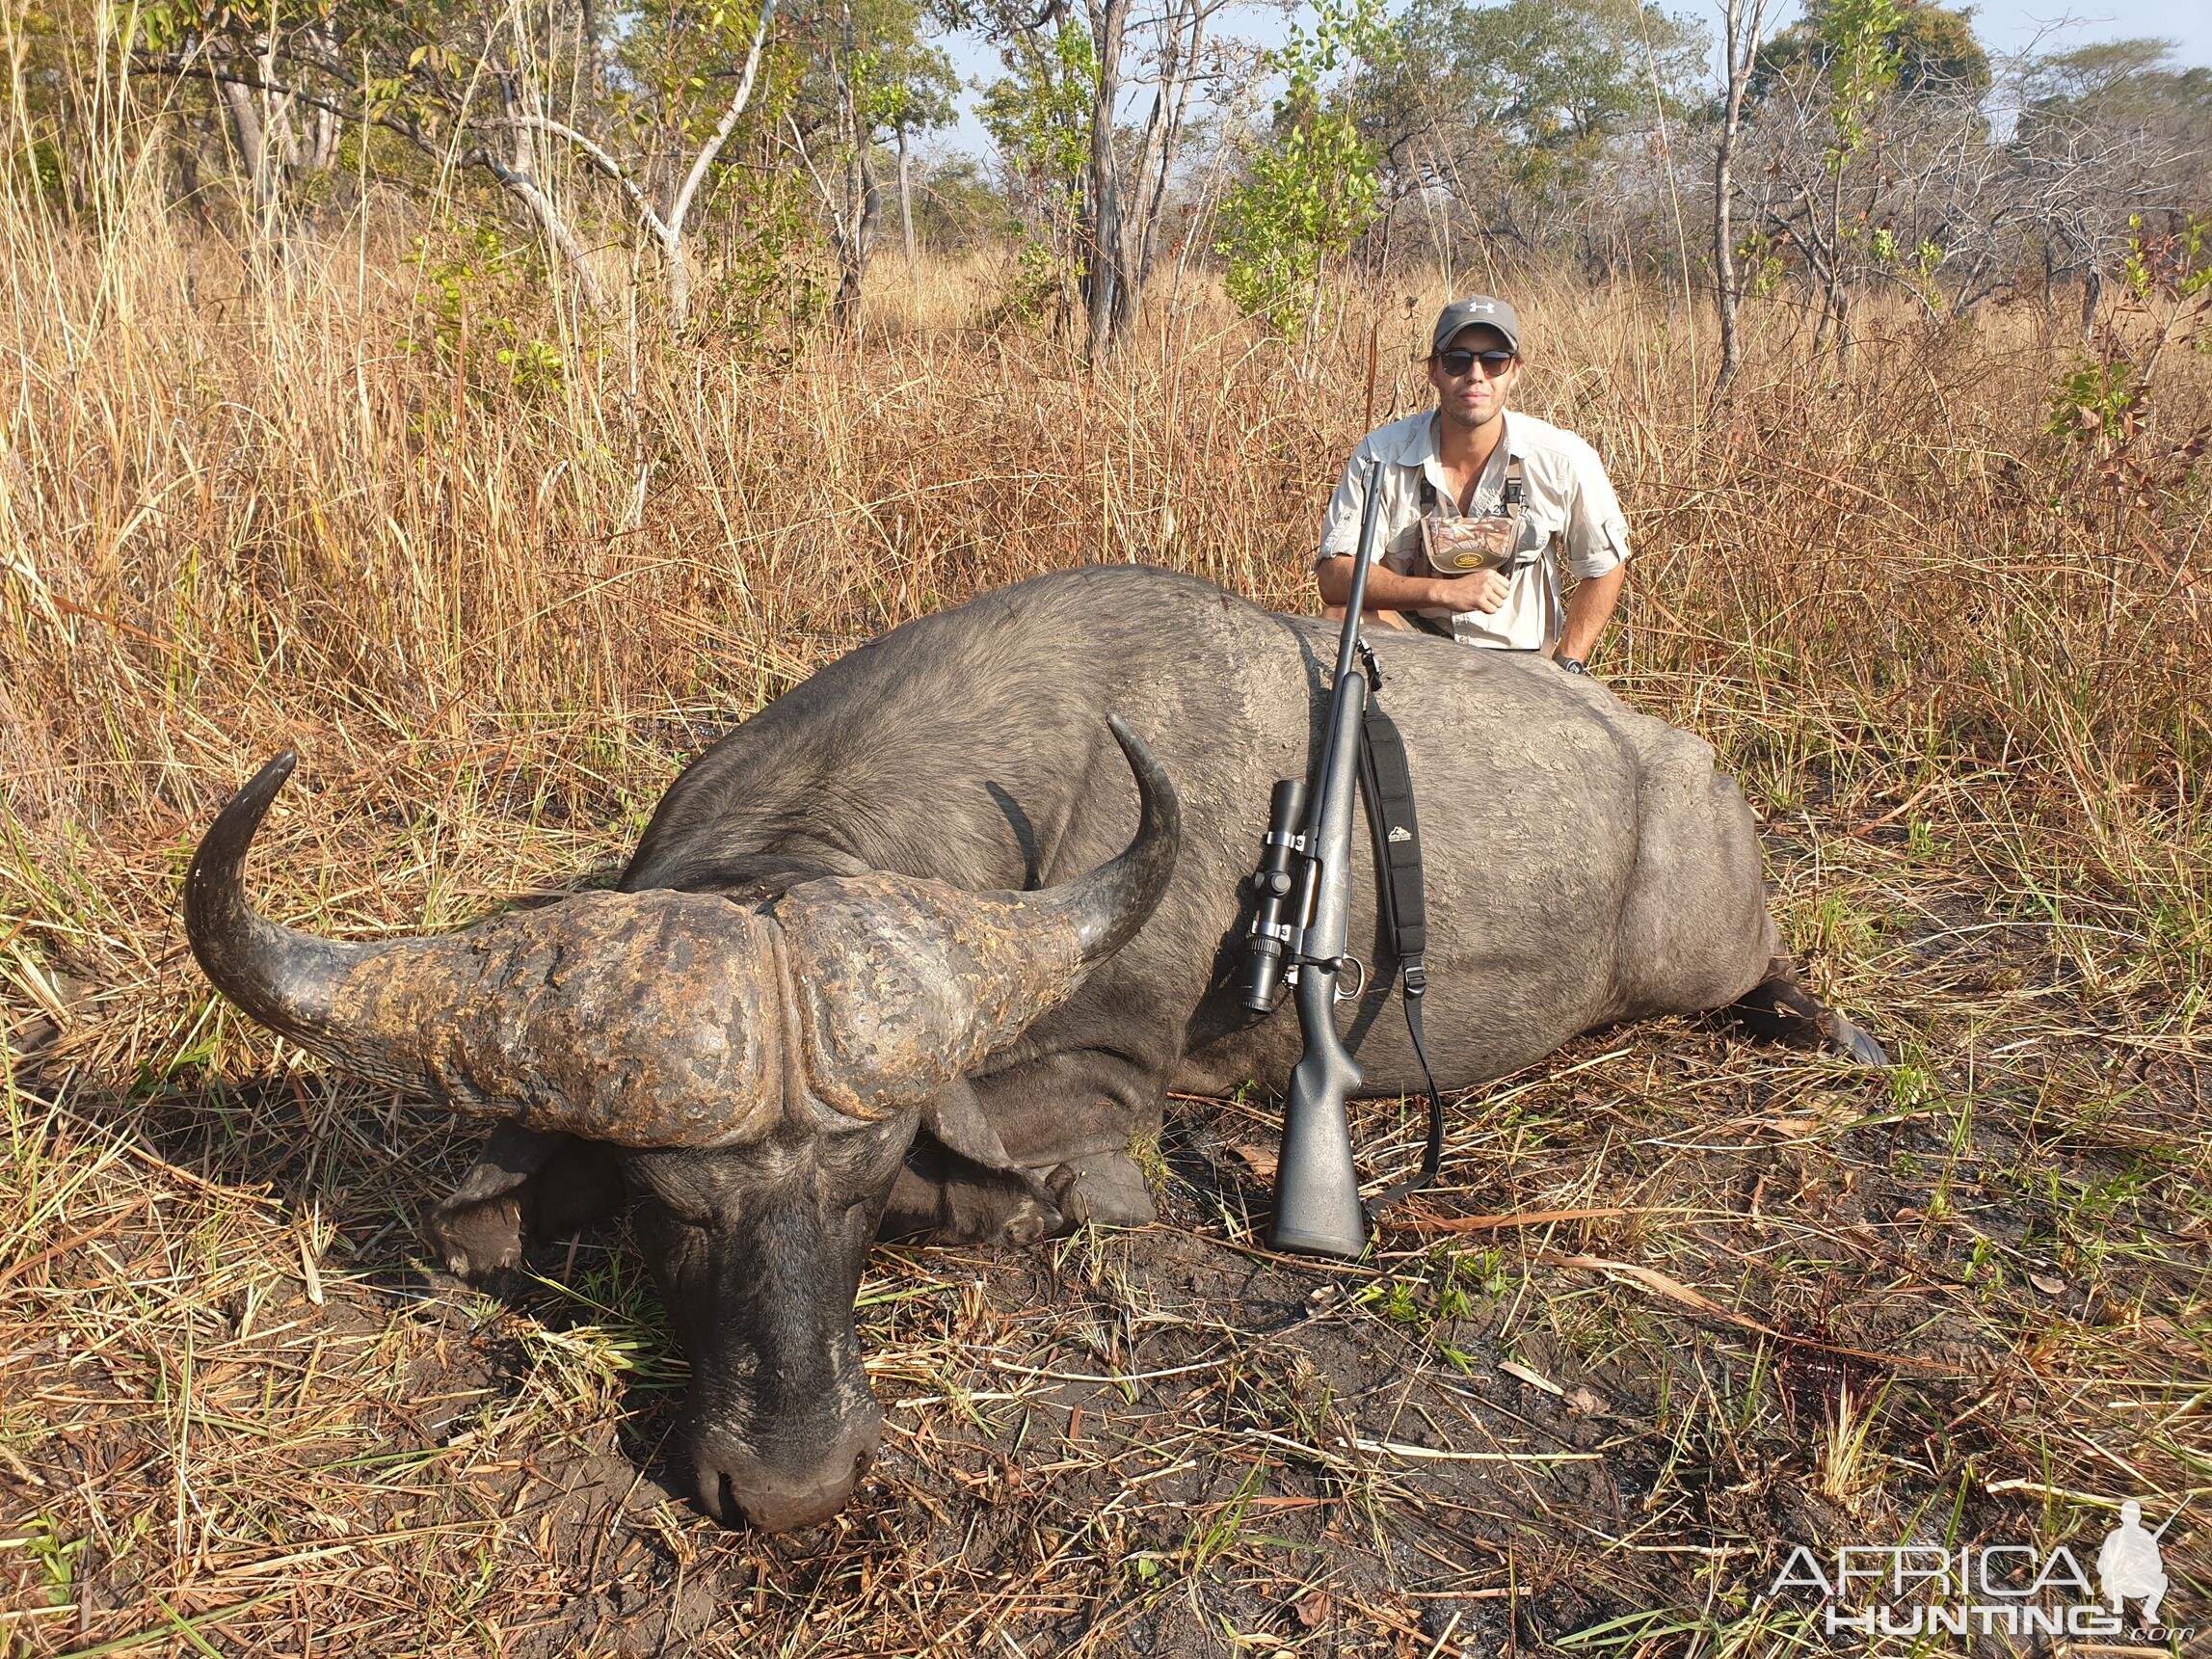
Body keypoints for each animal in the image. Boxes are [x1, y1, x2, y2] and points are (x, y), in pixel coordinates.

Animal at [194, 566, 1884, 1539]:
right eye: (670, 1206)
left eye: (865, 1186)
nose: (796, 1489)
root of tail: (1685, 767)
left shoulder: (1102, 1095)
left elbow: (1031, 1184)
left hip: (1704, 953)